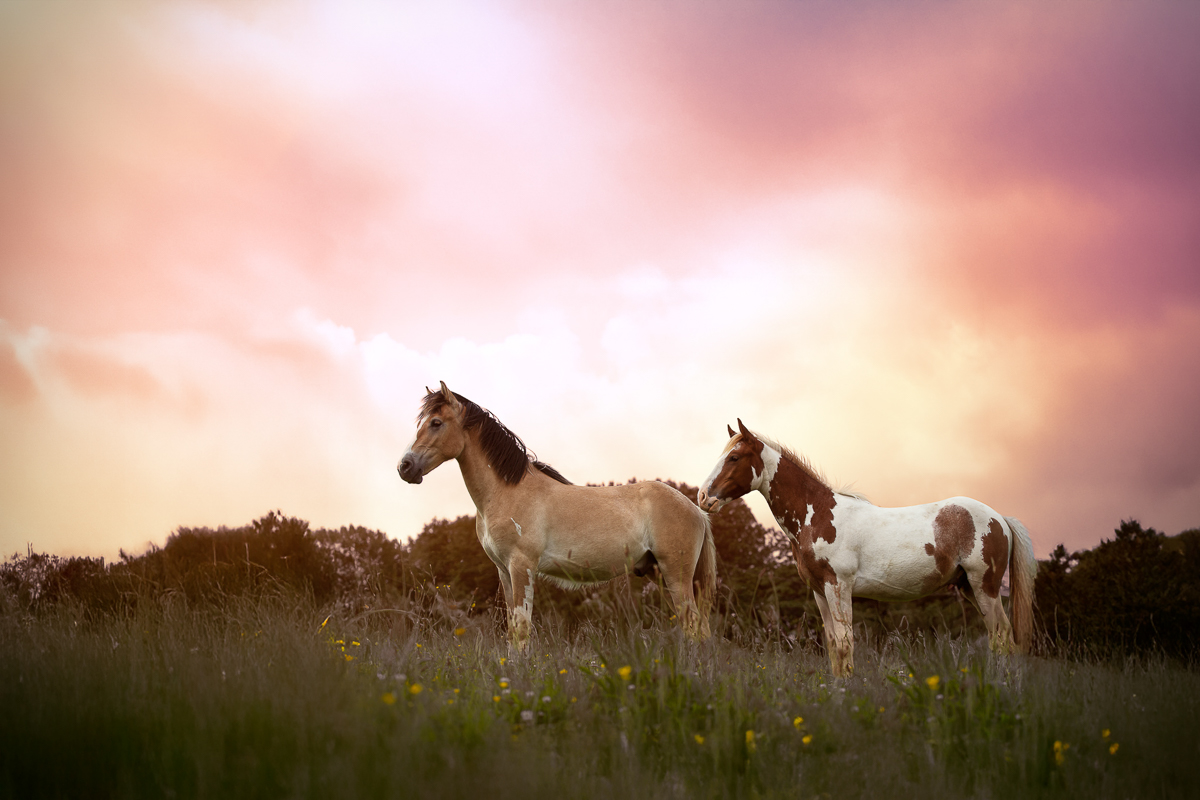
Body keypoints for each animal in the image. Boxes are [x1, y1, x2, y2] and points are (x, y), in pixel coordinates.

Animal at [398, 382, 716, 649]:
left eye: (436, 423)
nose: (405, 467)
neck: (507, 491)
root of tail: (696, 510)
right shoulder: (504, 571)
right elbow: (512, 631)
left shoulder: (522, 566)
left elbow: (522, 629)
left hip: (676, 575)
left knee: (694, 628)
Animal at [697, 420, 1036, 677]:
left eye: (734, 458)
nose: (702, 497)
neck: (817, 514)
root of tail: (999, 518)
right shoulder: (820, 591)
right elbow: (834, 647)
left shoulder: (839, 586)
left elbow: (846, 644)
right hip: (969, 588)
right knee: (998, 638)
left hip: (985, 587)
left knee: (1004, 638)